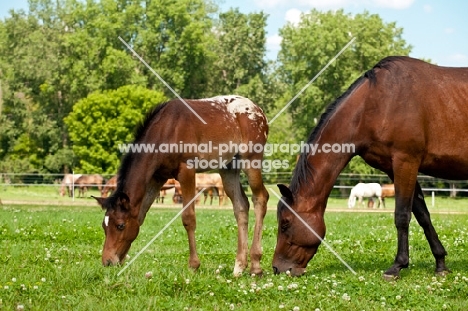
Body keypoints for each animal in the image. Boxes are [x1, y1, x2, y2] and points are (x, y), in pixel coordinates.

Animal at [93, 96, 268, 276]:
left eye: (120, 225)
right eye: (104, 226)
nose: (108, 261)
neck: (166, 130)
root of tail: (258, 110)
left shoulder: (187, 170)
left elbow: (188, 218)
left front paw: (193, 265)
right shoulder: (157, 177)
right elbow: (140, 216)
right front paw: (123, 261)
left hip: (251, 160)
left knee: (260, 198)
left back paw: (255, 265)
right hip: (228, 168)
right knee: (241, 206)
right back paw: (239, 266)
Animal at [272, 56, 466, 280]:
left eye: (285, 223)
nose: (277, 268)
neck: (375, 104)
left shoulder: (406, 162)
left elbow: (402, 216)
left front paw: (397, 266)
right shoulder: (396, 168)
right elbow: (423, 216)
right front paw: (440, 263)